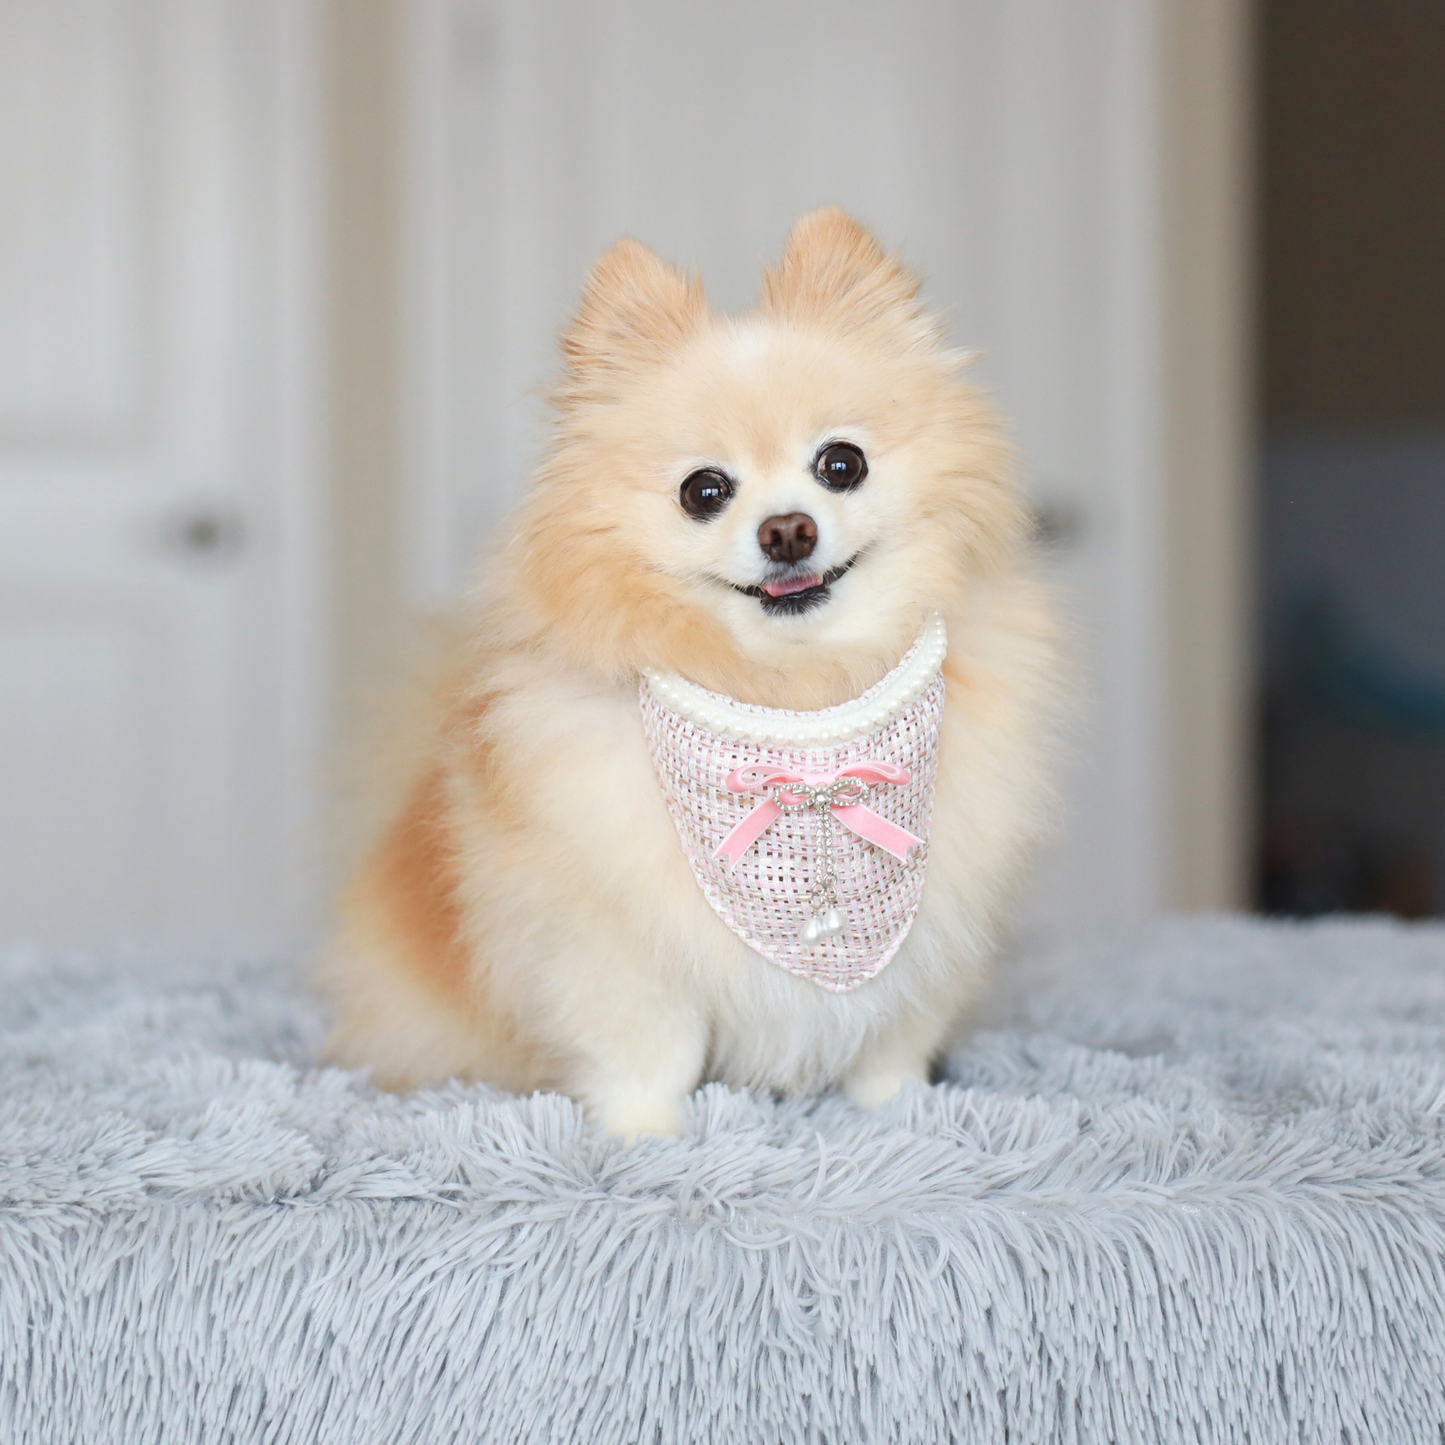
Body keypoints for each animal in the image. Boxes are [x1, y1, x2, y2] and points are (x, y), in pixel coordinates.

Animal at [322, 210, 1057, 1138]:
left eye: (841, 463)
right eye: (703, 491)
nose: (787, 530)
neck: (796, 705)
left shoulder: (930, 934)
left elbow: (891, 1043)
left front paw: (904, 1115)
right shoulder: (613, 943)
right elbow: (650, 1049)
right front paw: (646, 1137)